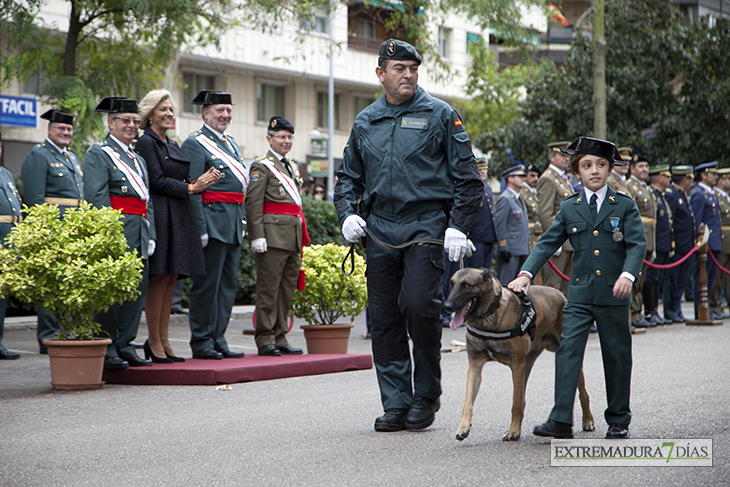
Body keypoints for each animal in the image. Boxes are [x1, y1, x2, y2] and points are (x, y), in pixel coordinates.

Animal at [444, 266, 592, 442]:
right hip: (526, 366)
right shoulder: (475, 367)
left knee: (583, 392)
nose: (447, 306)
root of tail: (560, 294)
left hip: (547, 359)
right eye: (451, 284)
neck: (489, 315)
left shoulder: (516, 365)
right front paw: (463, 427)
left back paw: (588, 420)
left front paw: (513, 430)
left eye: (466, 285)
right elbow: (468, 402)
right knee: (522, 398)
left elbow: (515, 403)